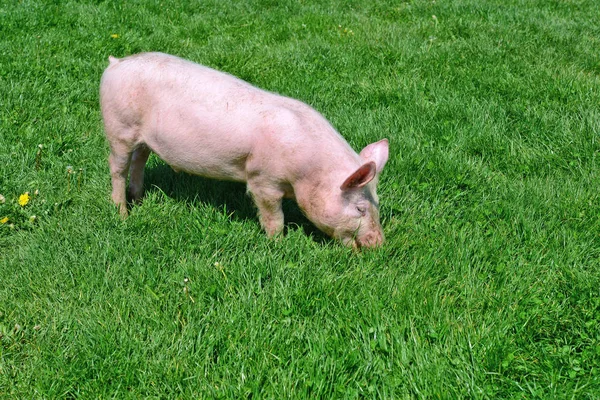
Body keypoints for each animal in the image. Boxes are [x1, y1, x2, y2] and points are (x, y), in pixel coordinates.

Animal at [99, 53, 390, 247]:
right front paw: (279, 245)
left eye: (377, 204)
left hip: (142, 138)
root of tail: (116, 63)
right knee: (117, 167)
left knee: (140, 160)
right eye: (360, 209)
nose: (379, 245)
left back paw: (139, 200)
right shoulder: (262, 180)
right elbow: (274, 217)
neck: (307, 173)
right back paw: (122, 213)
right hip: (119, 128)